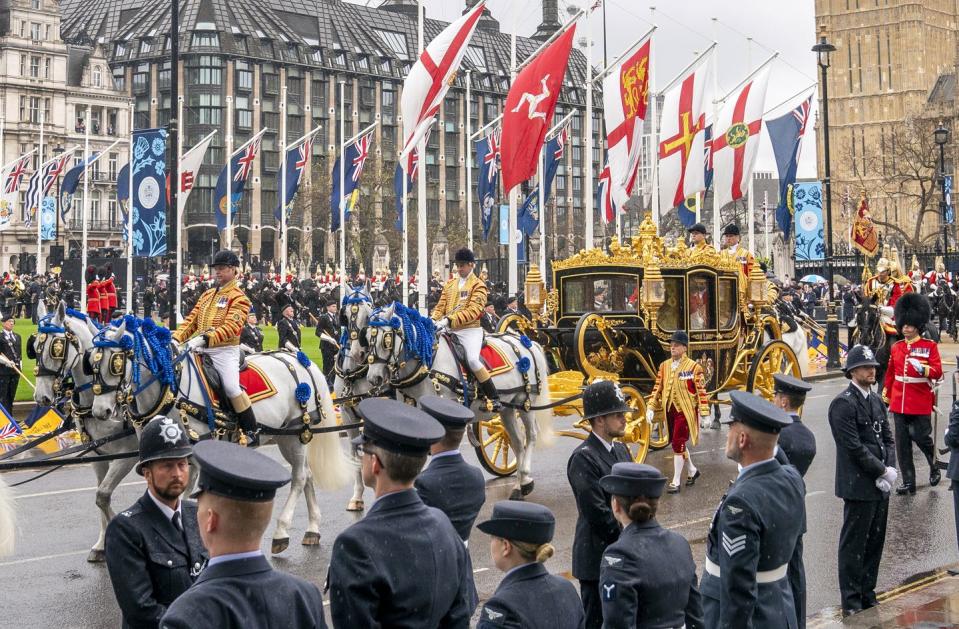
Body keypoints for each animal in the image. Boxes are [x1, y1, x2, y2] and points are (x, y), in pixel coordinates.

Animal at [32, 302, 141, 560]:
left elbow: (103, 495)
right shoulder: (96, 455)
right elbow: (101, 496)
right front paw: (102, 543)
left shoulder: (127, 455)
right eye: (34, 347)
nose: (41, 397)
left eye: (56, 348)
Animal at [88, 316, 350, 552]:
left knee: (299, 477)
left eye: (116, 361)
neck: (171, 390)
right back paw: (312, 528)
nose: (101, 411)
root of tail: (299, 358)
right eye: (91, 363)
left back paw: (281, 531)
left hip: (294, 436)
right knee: (307, 474)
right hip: (284, 435)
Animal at [364, 302, 552, 498]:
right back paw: (519, 484)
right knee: (517, 441)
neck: (427, 364)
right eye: (366, 337)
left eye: (386, 339)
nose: (374, 378)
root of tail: (526, 341)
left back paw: (525, 477)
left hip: (525, 403)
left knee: (531, 435)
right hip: (508, 408)